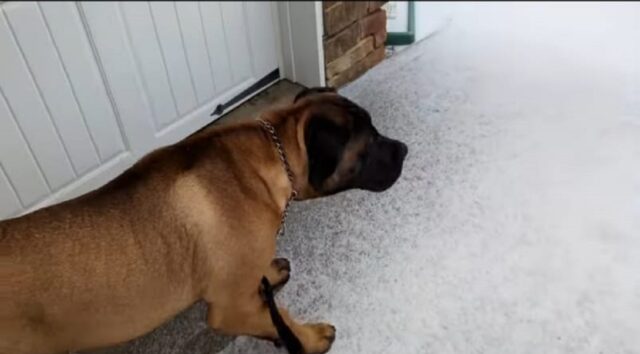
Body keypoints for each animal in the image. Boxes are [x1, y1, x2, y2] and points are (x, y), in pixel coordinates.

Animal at [0, 86, 408, 354]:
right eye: (370, 141)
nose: (405, 149)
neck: (271, 159)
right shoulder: (230, 310)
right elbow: (280, 315)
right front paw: (307, 339)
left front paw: (270, 277)